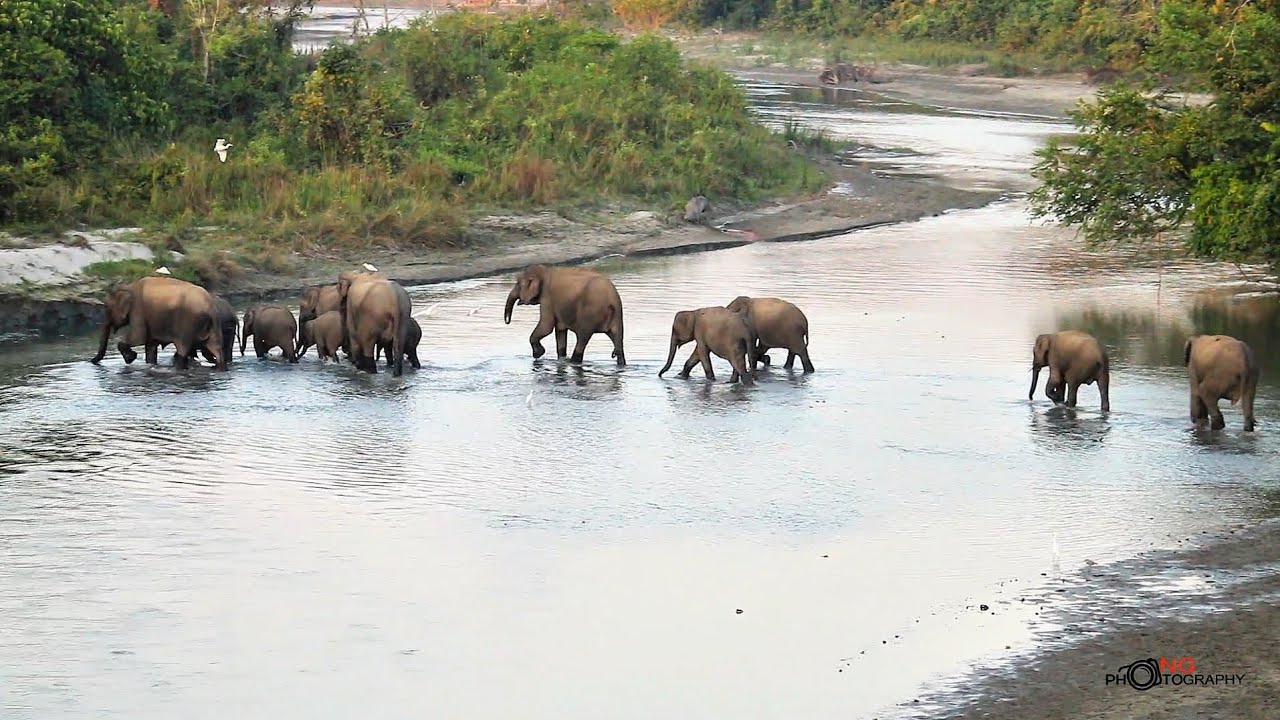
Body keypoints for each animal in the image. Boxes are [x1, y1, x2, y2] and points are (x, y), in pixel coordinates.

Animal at [89, 275, 227, 370]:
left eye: (106, 309)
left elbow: (138, 337)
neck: (129, 287)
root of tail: (210, 306)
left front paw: (131, 358)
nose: (92, 361)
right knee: (216, 349)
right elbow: (150, 346)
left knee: (183, 350)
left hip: (188, 323)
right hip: (212, 327)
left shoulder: (138, 310)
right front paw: (147, 363)